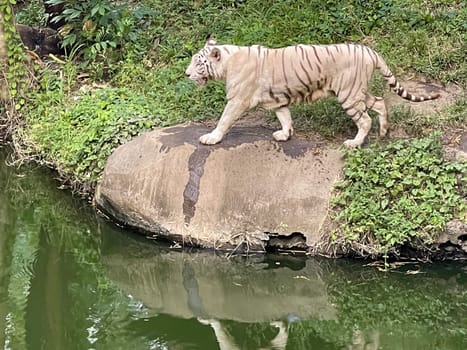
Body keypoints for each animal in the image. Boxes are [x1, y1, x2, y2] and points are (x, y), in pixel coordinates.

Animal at [185, 38, 440, 148]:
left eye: (198, 63)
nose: (186, 74)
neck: (227, 63)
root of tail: (369, 50)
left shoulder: (237, 99)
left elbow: (224, 119)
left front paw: (211, 138)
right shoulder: (278, 100)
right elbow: (285, 117)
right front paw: (284, 135)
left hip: (348, 94)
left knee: (365, 119)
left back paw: (354, 143)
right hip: (357, 91)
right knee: (378, 102)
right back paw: (384, 131)